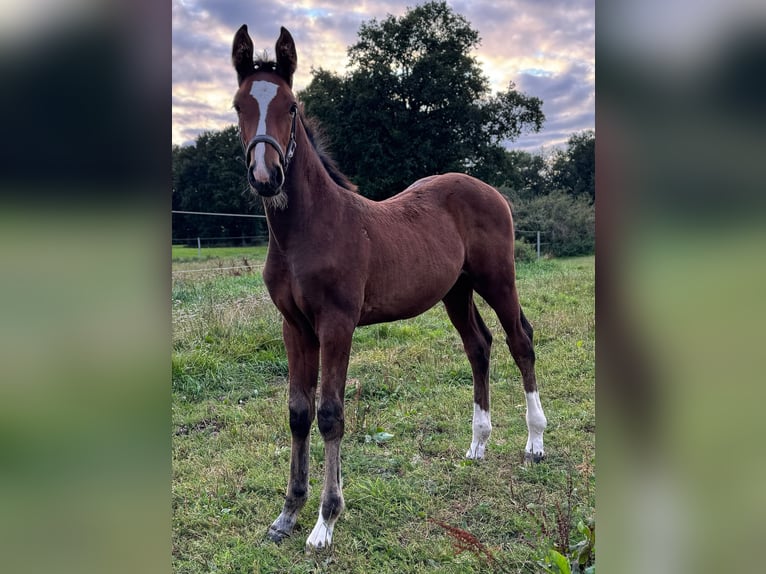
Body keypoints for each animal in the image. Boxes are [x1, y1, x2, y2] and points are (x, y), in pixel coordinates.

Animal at [231, 25, 547, 551]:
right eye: (238, 106)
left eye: (291, 107)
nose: (265, 176)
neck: (309, 229)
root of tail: (490, 190)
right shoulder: (294, 326)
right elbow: (298, 412)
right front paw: (286, 515)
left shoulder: (337, 324)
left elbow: (330, 413)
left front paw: (324, 522)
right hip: (456, 291)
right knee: (479, 346)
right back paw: (477, 445)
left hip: (497, 278)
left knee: (519, 341)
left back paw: (536, 442)